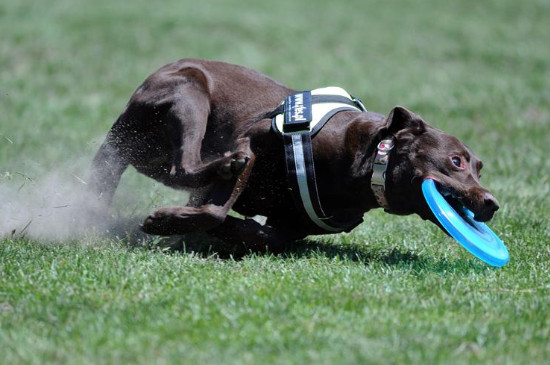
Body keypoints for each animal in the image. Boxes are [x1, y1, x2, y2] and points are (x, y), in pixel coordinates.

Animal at [89, 58, 500, 252]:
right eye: (456, 161)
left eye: (480, 168)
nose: (492, 203)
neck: (367, 167)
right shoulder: (252, 139)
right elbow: (216, 206)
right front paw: (163, 222)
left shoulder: (292, 223)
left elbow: (262, 235)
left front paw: (217, 229)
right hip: (189, 95)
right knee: (185, 166)